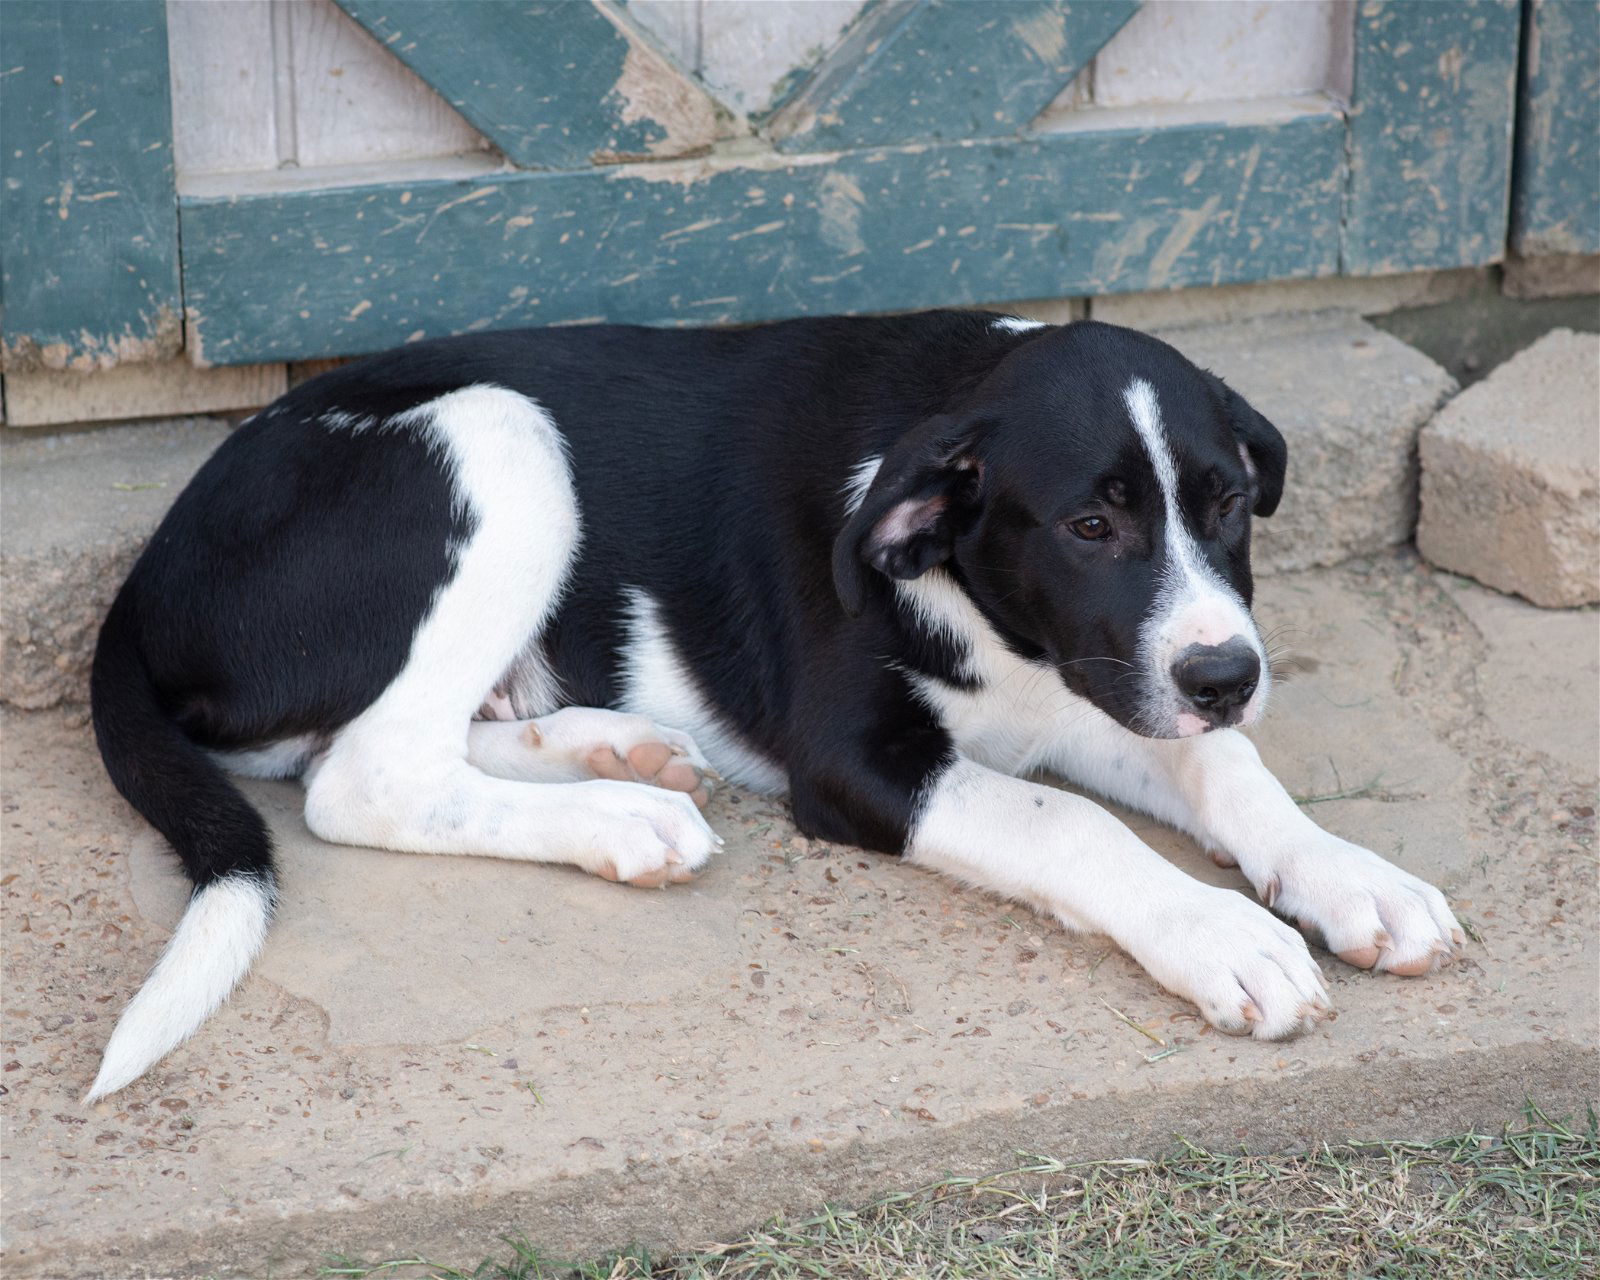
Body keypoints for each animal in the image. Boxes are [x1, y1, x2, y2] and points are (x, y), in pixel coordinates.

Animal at [87, 312, 1465, 1100]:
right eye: (1089, 525)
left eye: (1228, 501)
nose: (1227, 677)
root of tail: (141, 581)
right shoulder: (858, 756)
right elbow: (1068, 823)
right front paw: (1225, 935)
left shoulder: (1109, 677)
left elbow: (1225, 772)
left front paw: (1351, 875)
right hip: (496, 435)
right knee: (361, 774)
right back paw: (623, 819)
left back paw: (619, 744)